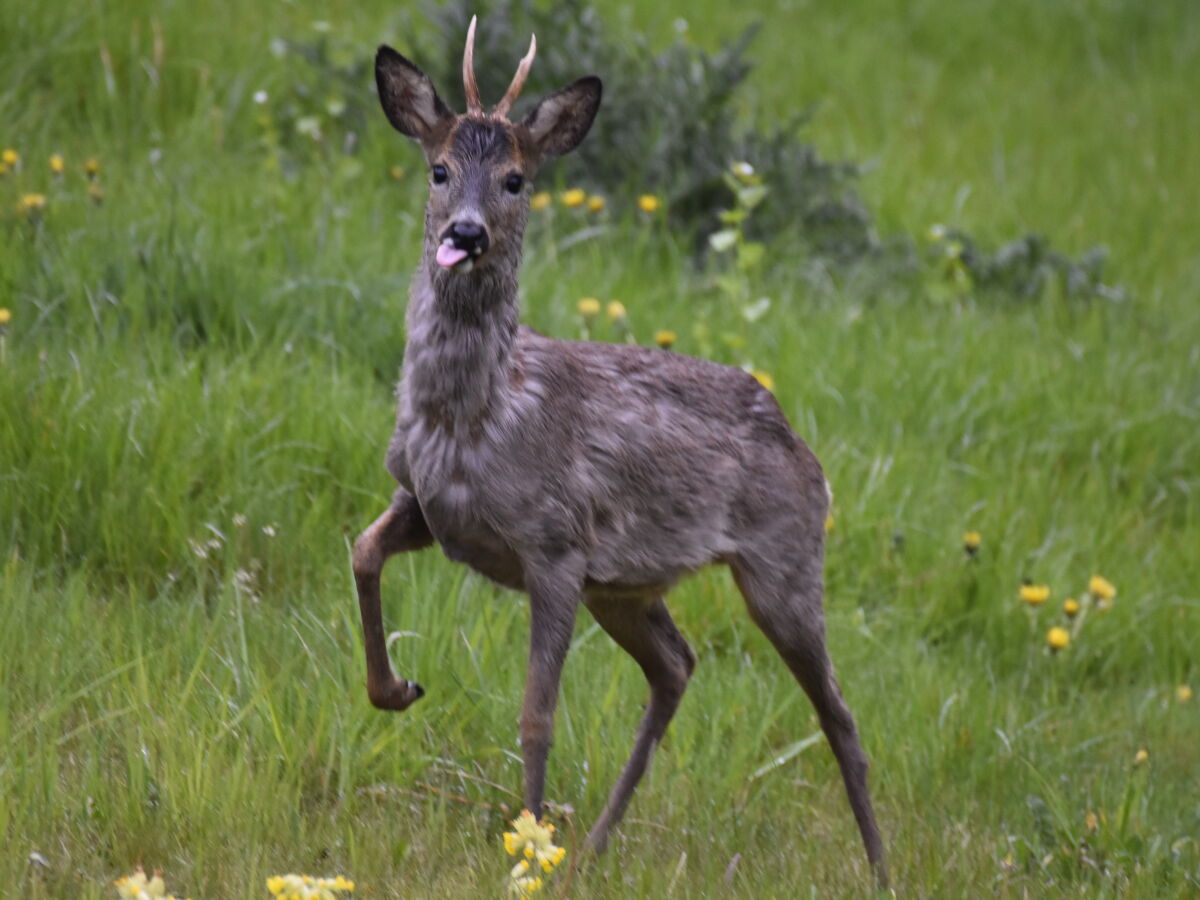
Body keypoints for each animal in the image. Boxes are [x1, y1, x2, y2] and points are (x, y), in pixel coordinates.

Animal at [350, 15, 888, 888]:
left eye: (515, 180)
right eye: (438, 169)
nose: (465, 233)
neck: (476, 415)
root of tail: (807, 451)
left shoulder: (556, 544)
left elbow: (537, 714)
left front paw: (526, 851)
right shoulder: (426, 505)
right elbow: (363, 552)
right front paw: (395, 689)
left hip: (782, 561)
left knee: (837, 712)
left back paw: (880, 870)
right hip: (628, 588)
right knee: (677, 665)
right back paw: (598, 842)